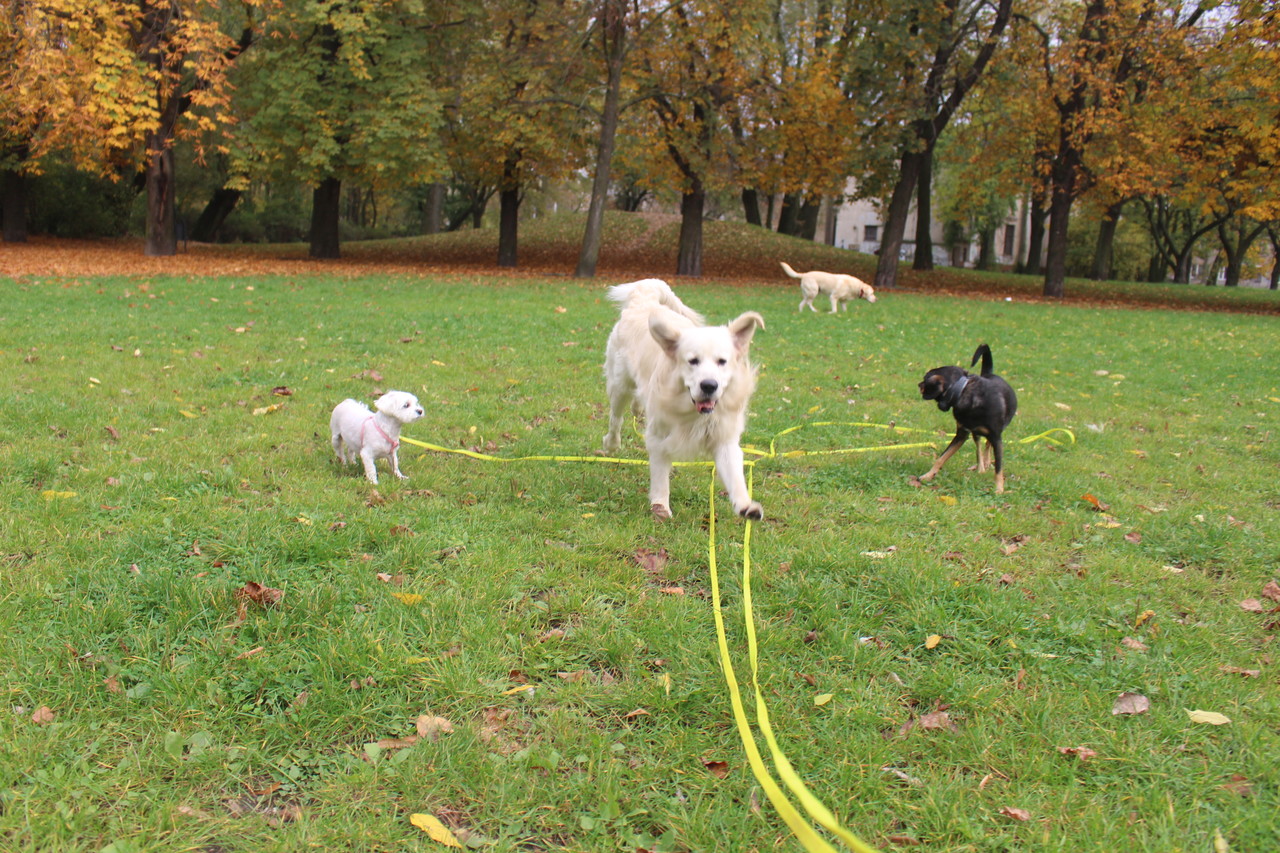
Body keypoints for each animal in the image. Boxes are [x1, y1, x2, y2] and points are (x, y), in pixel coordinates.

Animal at [602, 279, 765, 520]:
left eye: (722, 361)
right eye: (693, 361)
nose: (709, 385)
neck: (693, 412)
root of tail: (644, 300)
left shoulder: (724, 438)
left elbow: (735, 476)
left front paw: (746, 506)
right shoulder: (658, 437)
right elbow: (661, 475)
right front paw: (660, 505)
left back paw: (638, 408)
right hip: (619, 385)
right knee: (616, 419)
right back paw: (612, 443)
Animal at [918, 344, 1017, 493]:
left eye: (925, 378)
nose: (919, 384)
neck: (963, 391)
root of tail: (989, 374)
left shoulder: (996, 437)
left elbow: (999, 467)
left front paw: (999, 489)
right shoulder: (962, 434)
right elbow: (941, 458)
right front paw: (928, 475)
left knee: (987, 446)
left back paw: (986, 463)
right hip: (975, 433)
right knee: (979, 447)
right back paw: (981, 467)